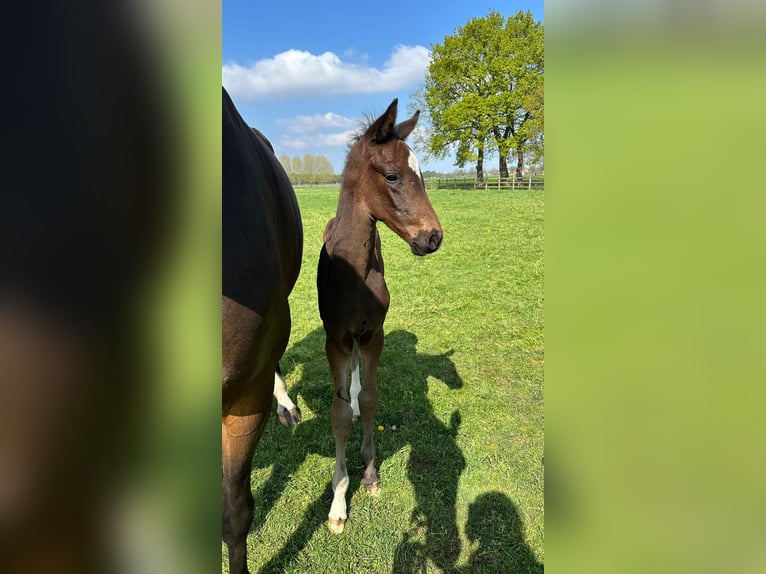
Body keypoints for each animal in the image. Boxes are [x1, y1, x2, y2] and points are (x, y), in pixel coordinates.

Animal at [316, 98, 443, 534]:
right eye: (392, 175)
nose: (433, 237)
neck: (353, 272)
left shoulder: (375, 334)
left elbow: (370, 399)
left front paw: (370, 474)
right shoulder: (336, 339)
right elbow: (338, 415)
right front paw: (338, 503)